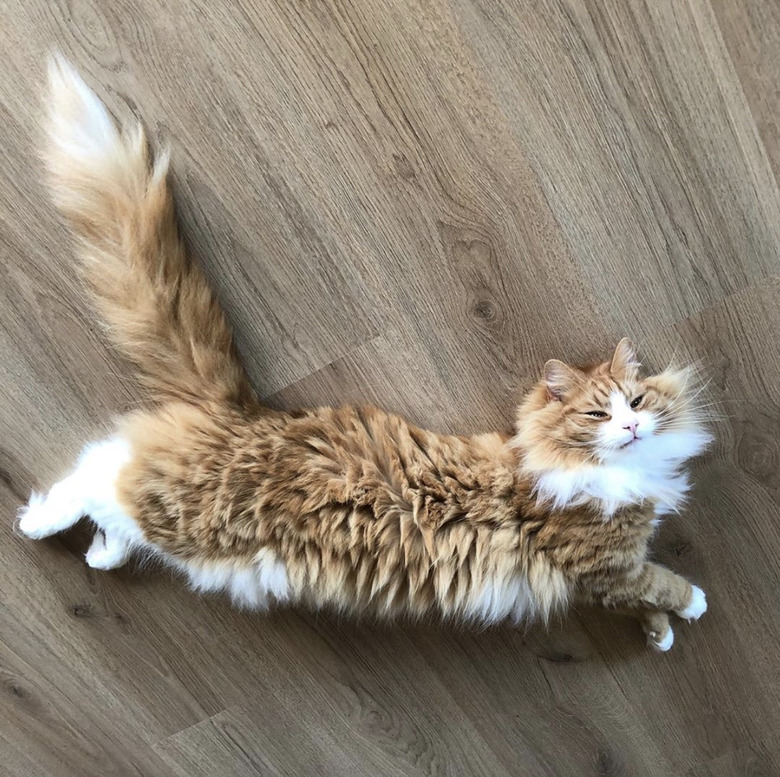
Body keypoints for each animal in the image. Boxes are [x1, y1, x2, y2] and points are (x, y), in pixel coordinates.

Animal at [18, 56, 712, 648]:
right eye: (597, 414)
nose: (630, 426)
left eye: (637, 401)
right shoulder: (603, 561)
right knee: (93, 472)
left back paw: (98, 552)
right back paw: (36, 523)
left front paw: (658, 634)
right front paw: (692, 608)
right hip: (181, 516)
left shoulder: (607, 571)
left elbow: (640, 601)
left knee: (111, 499)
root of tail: (241, 413)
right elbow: (662, 585)